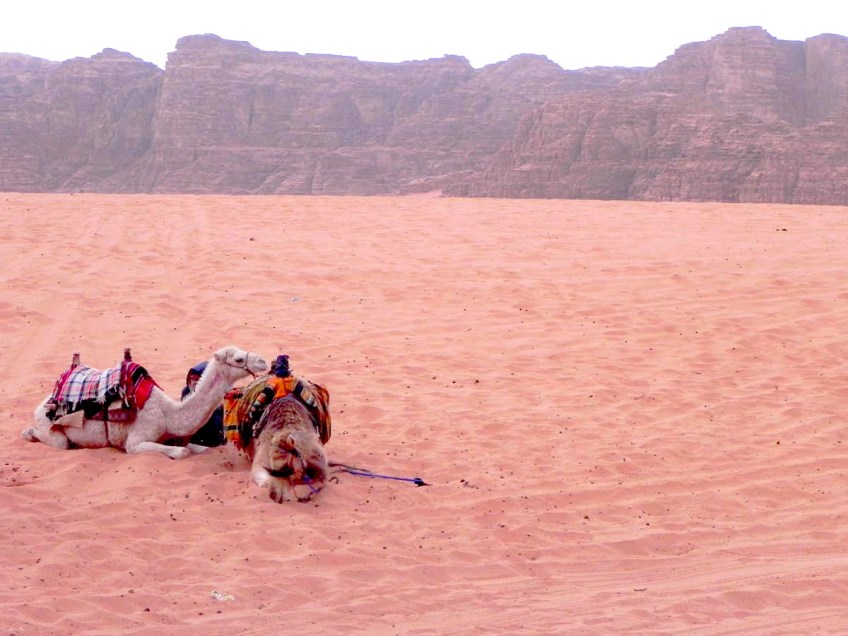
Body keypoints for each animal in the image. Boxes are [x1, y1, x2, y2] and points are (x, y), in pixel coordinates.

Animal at [23, 346, 268, 459]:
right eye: (237, 359)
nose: (263, 361)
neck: (168, 415)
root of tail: (42, 403)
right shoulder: (135, 441)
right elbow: (181, 452)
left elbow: (200, 449)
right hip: (49, 423)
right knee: (57, 440)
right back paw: (29, 433)